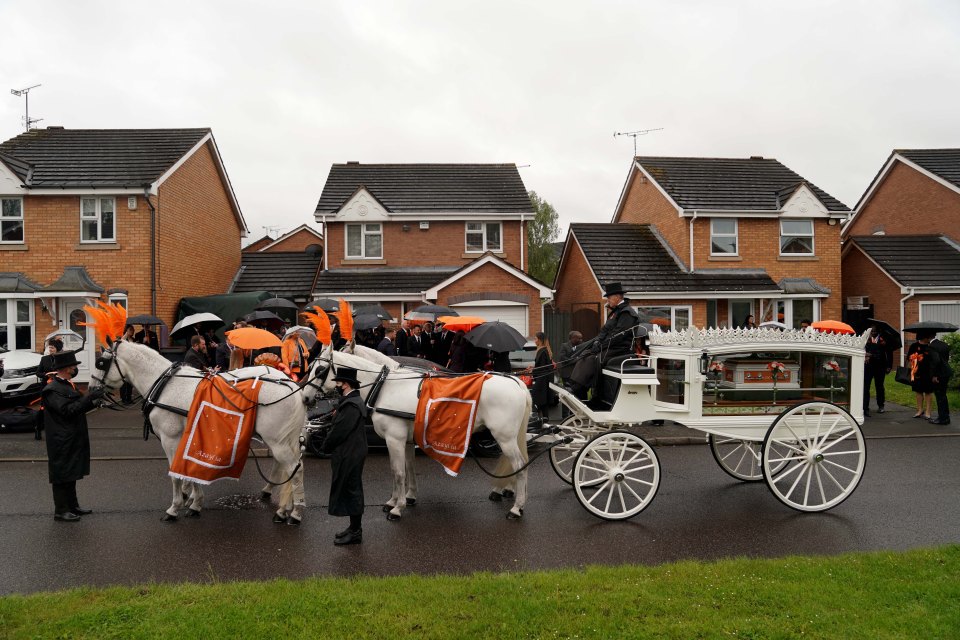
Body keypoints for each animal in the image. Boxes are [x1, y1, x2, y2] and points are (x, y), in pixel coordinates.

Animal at [92, 340, 306, 524]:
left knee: (295, 469)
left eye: (100, 363)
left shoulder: (170, 439)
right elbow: (190, 469)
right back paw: (281, 506)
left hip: (277, 441)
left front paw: (175, 507)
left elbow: (175, 474)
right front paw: (194, 502)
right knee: (283, 466)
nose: (92, 391)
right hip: (280, 440)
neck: (165, 386)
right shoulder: (190, 437)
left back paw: (294, 513)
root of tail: (292, 385)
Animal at [304, 344, 532, 520]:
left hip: (504, 437)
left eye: (320, 369)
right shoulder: (406, 440)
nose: (305, 398)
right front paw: (401, 499)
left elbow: (397, 471)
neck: (385, 387)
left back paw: (517, 508)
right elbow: (408, 468)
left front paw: (397, 508)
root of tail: (517, 383)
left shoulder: (394, 439)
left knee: (520, 465)